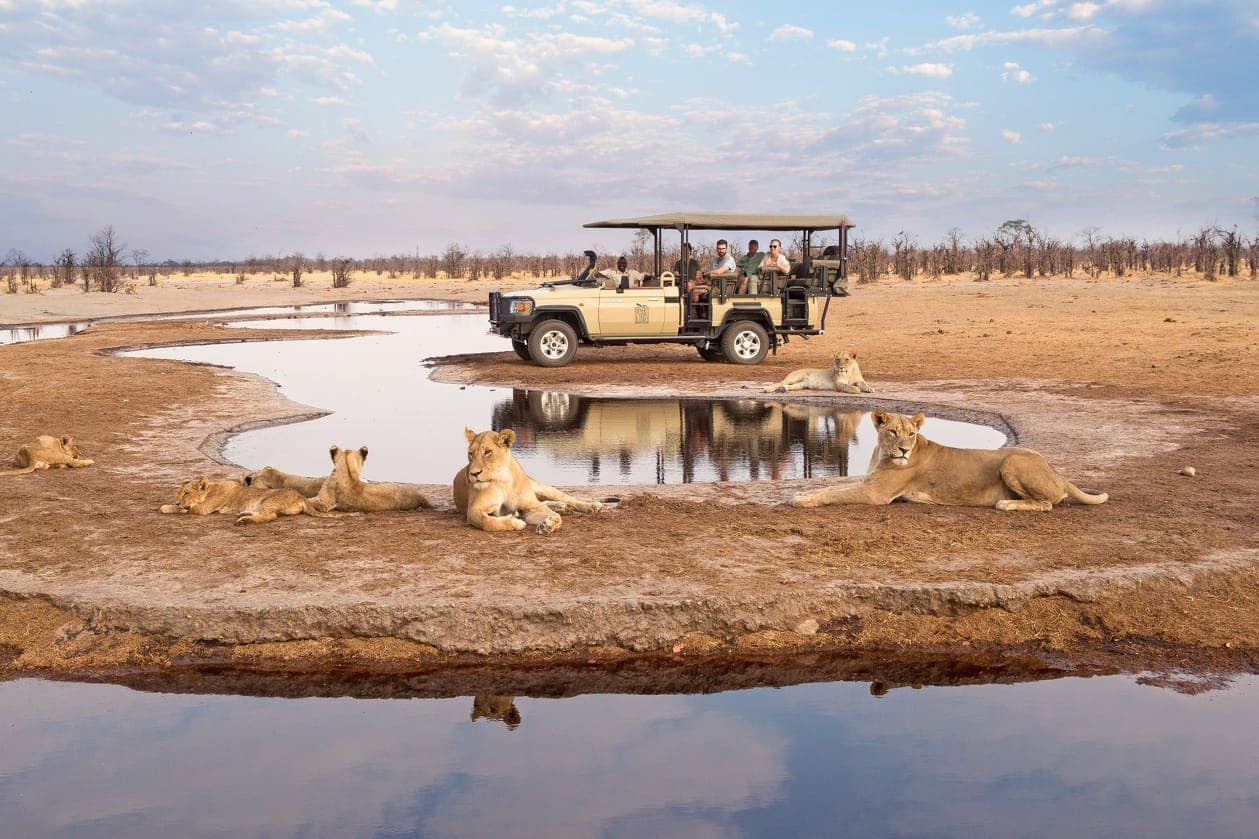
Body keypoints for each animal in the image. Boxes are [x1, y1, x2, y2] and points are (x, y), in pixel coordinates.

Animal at [160, 476, 340, 525]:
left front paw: (166, 507)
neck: (211, 488)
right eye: (178, 493)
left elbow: (185, 509)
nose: (178, 501)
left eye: (186, 493)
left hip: (268, 499)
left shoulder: (203, 509)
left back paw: (244, 521)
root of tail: (301, 496)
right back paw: (243, 515)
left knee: (270, 516)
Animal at [454, 428, 603, 534]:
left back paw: (592, 506)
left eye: (488, 452)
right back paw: (561, 506)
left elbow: (553, 516)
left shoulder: (531, 507)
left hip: (542, 488)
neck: (503, 480)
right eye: (470, 454)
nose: (474, 474)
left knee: (568, 498)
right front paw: (516, 522)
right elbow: (488, 522)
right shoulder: (474, 510)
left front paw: (548, 524)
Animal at [790, 410, 1108, 511]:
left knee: (1046, 503)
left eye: (912, 434)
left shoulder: (875, 493)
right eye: (893, 431)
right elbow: (832, 487)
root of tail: (1056, 472)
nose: (904, 450)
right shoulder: (869, 483)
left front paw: (800, 499)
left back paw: (1007, 504)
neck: (882, 452)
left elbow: (833, 493)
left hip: (1012, 462)